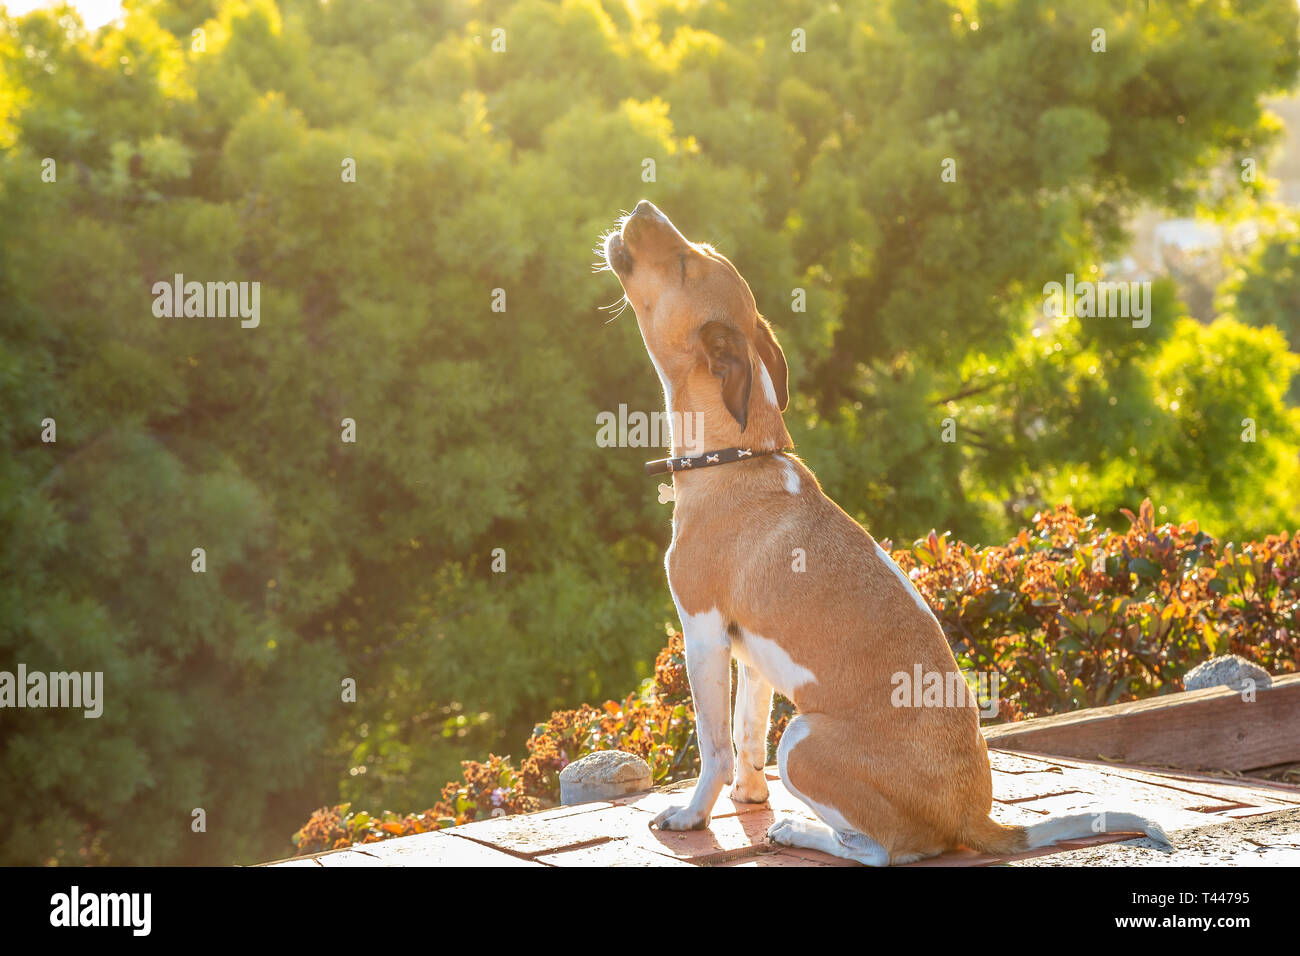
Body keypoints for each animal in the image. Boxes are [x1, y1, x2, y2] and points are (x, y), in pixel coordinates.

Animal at [598, 201, 1170, 868]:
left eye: (686, 263)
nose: (643, 208)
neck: (737, 456)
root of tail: (973, 817)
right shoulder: (753, 654)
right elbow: (745, 736)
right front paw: (748, 797)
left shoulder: (704, 634)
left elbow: (714, 745)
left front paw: (693, 815)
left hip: (804, 738)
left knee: (882, 850)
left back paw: (801, 831)